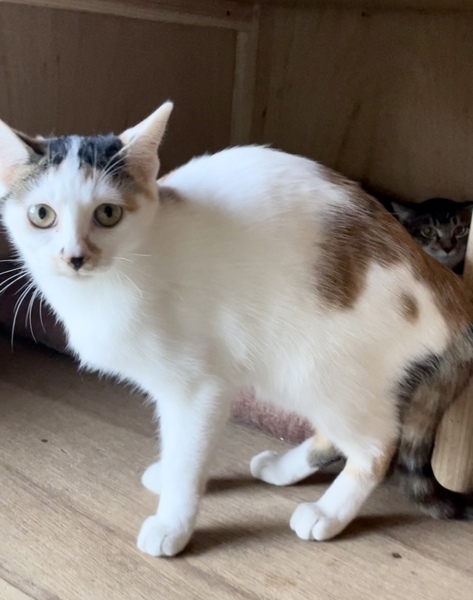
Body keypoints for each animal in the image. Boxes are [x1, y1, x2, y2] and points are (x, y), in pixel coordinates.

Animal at [1, 102, 473, 559]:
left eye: (108, 213)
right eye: (41, 215)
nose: (74, 257)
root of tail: (445, 283)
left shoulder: (198, 387)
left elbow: (188, 454)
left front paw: (173, 524)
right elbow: (179, 446)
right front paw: (169, 476)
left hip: (316, 368)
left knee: (378, 447)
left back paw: (327, 514)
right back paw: (282, 469)